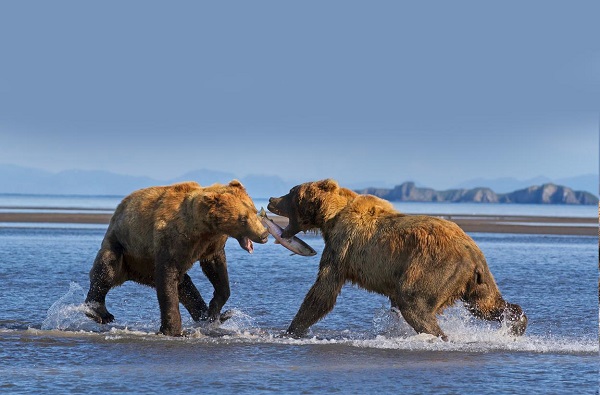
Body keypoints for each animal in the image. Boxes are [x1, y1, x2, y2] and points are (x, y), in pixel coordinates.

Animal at [85, 181, 268, 336]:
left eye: (254, 211)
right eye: (243, 219)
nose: (264, 234)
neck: (202, 228)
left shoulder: (211, 243)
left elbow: (217, 271)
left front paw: (214, 310)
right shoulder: (173, 240)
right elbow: (168, 276)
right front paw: (173, 330)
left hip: (145, 267)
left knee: (185, 286)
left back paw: (210, 316)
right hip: (123, 247)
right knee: (106, 270)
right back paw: (99, 312)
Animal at [270, 179, 528, 340]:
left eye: (291, 192)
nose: (272, 199)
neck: (331, 217)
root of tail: (472, 252)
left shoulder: (342, 247)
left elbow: (323, 291)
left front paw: (291, 329)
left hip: (434, 267)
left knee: (415, 303)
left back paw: (438, 335)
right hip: (477, 280)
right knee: (486, 305)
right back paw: (517, 323)